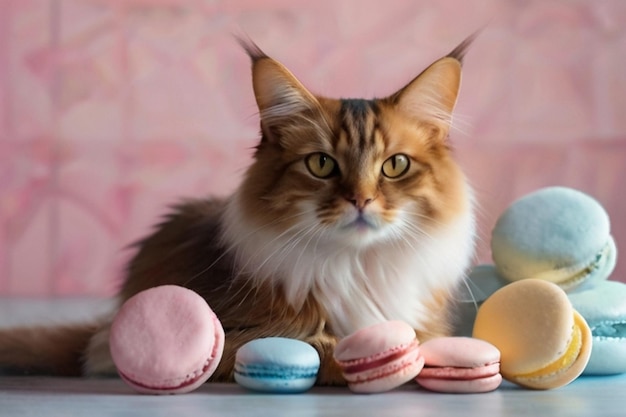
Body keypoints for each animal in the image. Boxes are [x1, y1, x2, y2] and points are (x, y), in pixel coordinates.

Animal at [0, 35, 472, 384]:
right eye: (321, 164)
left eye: (395, 165)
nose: (361, 199)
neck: (354, 265)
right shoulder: (238, 335)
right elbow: (321, 350)